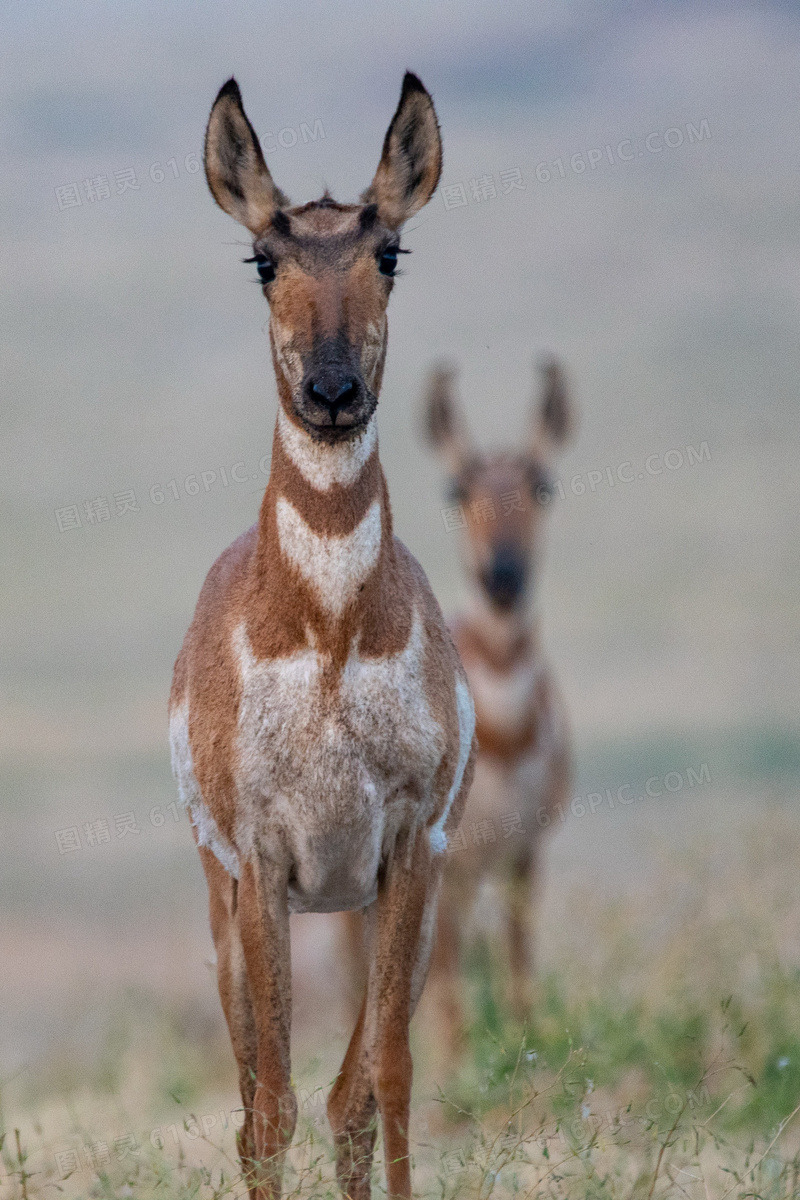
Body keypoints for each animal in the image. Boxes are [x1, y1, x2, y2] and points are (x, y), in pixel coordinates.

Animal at [165, 77, 472, 1200]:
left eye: (389, 251)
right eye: (265, 258)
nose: (333, 394)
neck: (333, 634)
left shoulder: (407, 850)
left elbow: (386, 1080)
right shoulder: (262, 861)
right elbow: (270, 1107)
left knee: (346, 1097)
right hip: (226, 905)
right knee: (261, 1096)